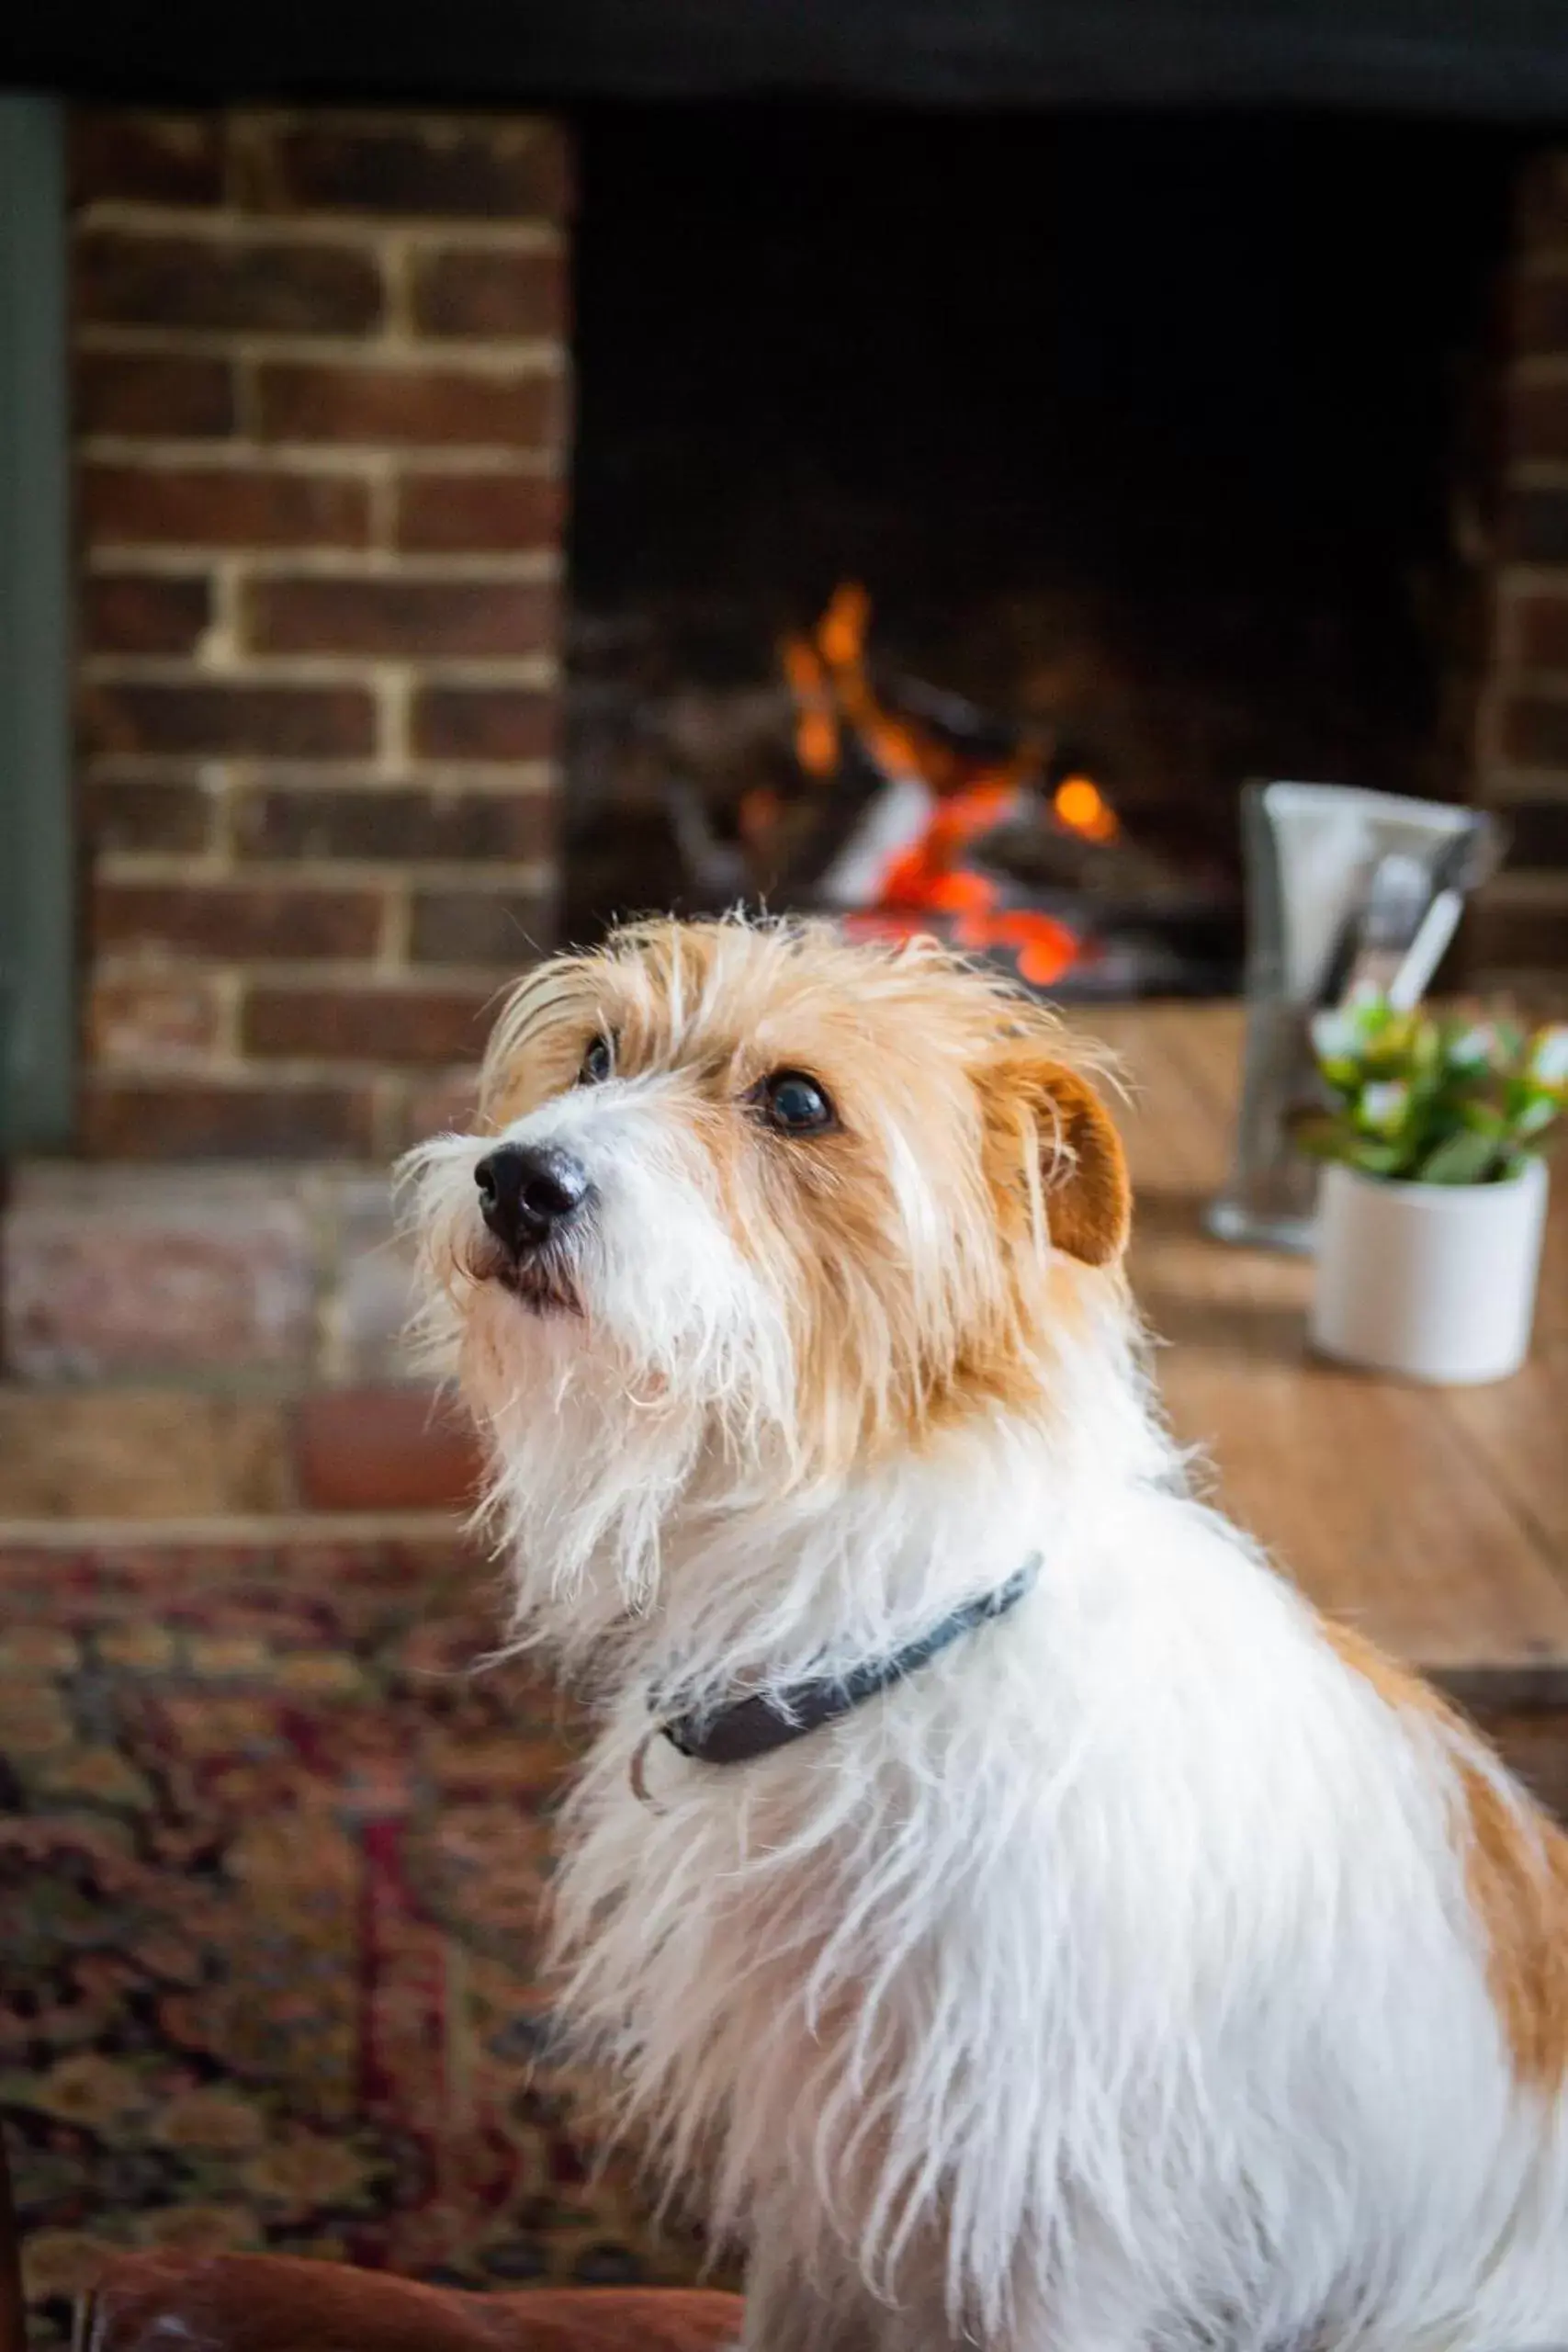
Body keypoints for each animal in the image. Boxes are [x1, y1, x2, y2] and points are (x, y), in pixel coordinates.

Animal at [401, 917, 1568, 2352]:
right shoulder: (825, 2196)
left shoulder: (1053, 2232)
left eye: (798, 1103)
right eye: (600, 1054)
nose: (519, 1181)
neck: (887, 1633)